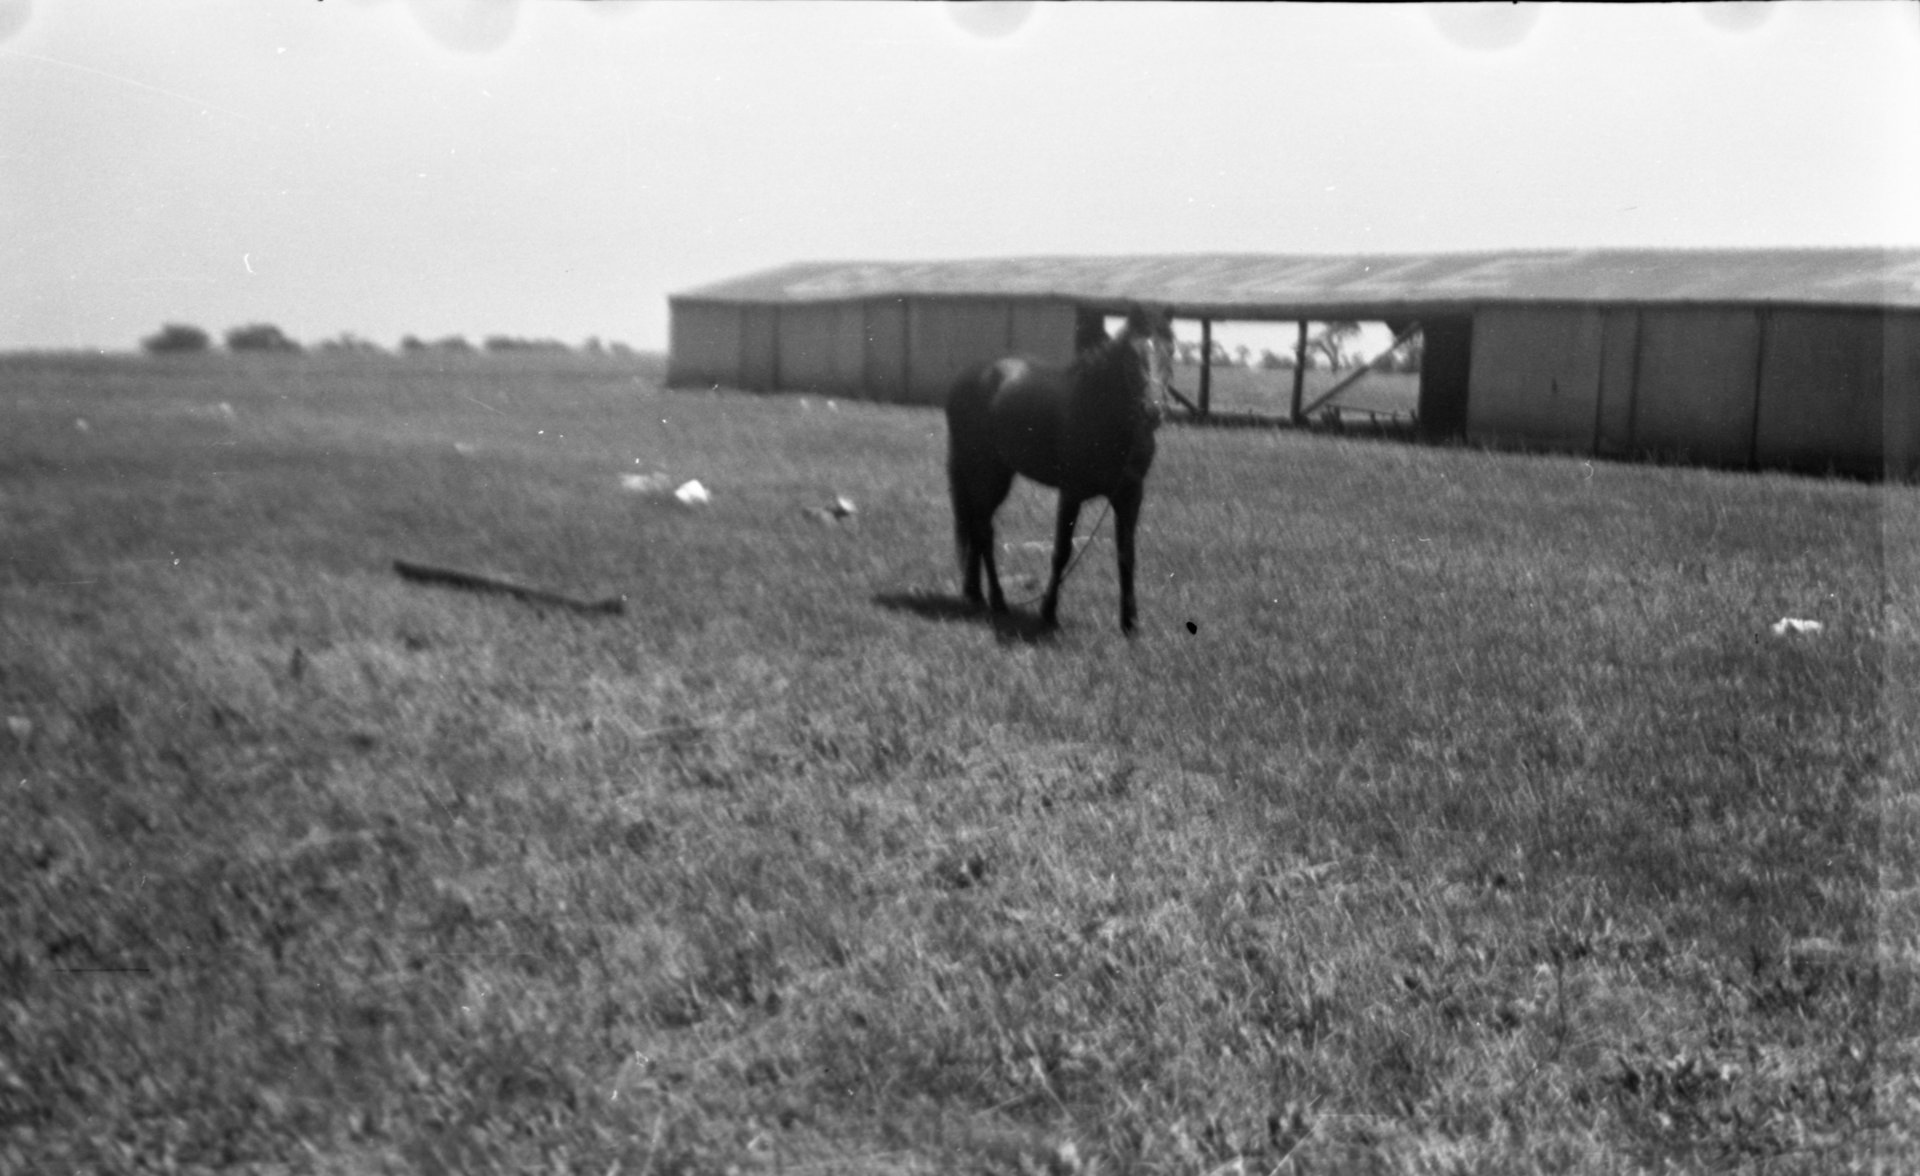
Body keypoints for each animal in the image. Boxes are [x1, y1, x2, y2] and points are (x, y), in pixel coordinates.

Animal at [940, 303, 1167, 634]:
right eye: (1130, 357)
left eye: (1169, 352)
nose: (1153, 411)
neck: (1101, 413)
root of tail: (966, 378)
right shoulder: (1071, 493)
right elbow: (1061, 551)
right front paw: (1048, 613)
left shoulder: (1129, 494)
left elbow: (1126, 555)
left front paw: (1130, 624)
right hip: (984, 473)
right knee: (983, 531)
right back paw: (997, 601)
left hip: (996, 475)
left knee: (978, 527)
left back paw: (975, 594)